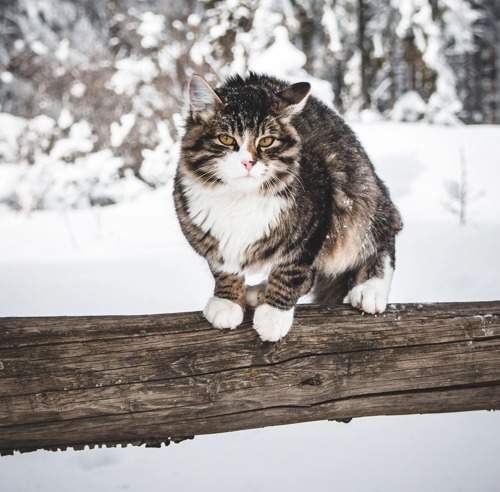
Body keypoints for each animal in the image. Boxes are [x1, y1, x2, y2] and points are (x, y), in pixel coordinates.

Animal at [175, 72, 402, 342]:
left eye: (266, 141)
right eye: (226, 139)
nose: (248, 162)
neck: (239, 197)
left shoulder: (316, 220)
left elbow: (291, 272)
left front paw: (274, 314)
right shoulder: (206, 233)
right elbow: (222, 268)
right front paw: (227, 301)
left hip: (359, 201)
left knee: (382, 238)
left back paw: (370, 289)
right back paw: (257, 291)